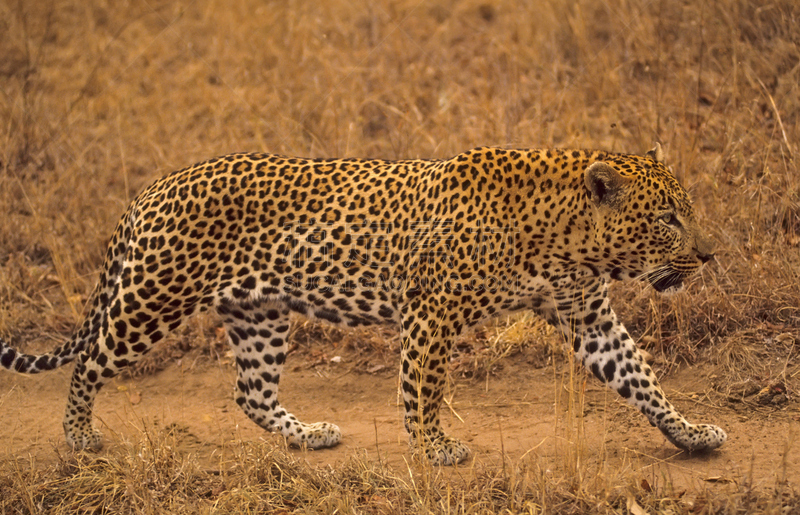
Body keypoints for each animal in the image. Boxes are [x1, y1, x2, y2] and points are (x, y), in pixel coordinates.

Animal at [0, 143, 724, 466]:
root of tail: (154, 186)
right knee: (88, 360)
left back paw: (307, 435)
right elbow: (424, 388)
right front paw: (434, 448)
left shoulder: (589, 317)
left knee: (251, 392)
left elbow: (642, 378)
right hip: (154, 294)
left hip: (260, 313)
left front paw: (691, 434)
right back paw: (79, 435)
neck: (568, 237)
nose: (711, 253)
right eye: (667, 218)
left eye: (685, 211)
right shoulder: (432, 310)